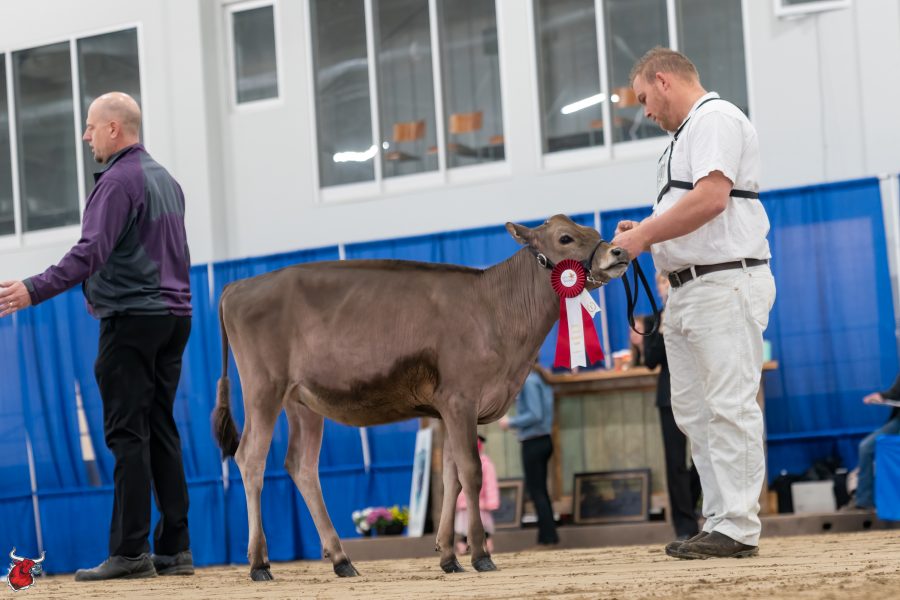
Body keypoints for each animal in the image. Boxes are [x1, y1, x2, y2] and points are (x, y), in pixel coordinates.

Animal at [212, 214, 629, 581]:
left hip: (302, 400)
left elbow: (452, 478)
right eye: (565, 238)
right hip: (263, 387)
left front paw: (448, 557)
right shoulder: (460, 399)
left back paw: (341, 560)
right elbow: (472, 473)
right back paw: (259, 563)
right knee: (250, 458)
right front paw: (480, 555)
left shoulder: (449, 409)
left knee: (301, 465)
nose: (619, 251)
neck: (495, 310)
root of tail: (238, 287)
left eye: (593, 232)